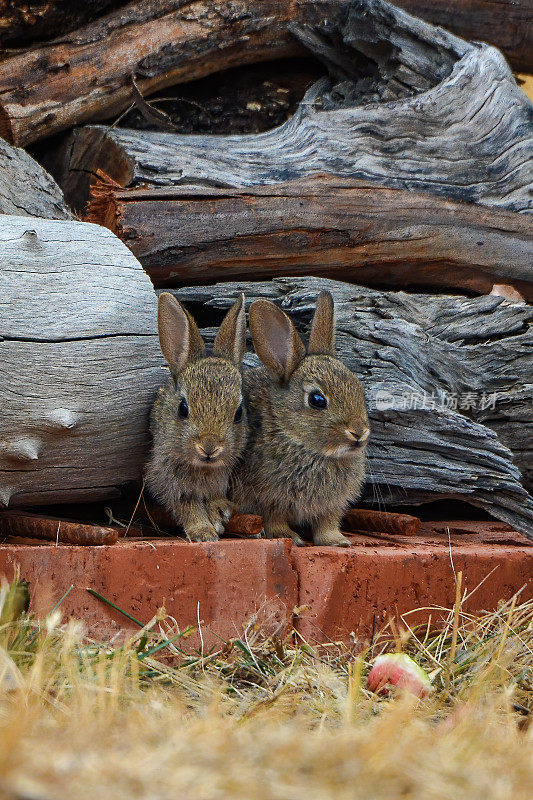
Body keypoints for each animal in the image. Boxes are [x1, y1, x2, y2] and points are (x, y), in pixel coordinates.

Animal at [144, 294, 246, 544]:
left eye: (238, 413)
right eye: (183, 409)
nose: (209, 447)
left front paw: (219, 512)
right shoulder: (170, 481)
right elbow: (188, 507)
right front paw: (204, 533)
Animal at [231, 290, 368, 548]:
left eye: (360, 389)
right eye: (317, 400)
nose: (359, 433)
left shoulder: (330, 506)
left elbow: (327, 523)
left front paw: (337, 541)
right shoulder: (268, 497)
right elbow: (274, 519)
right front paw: (289, 537)